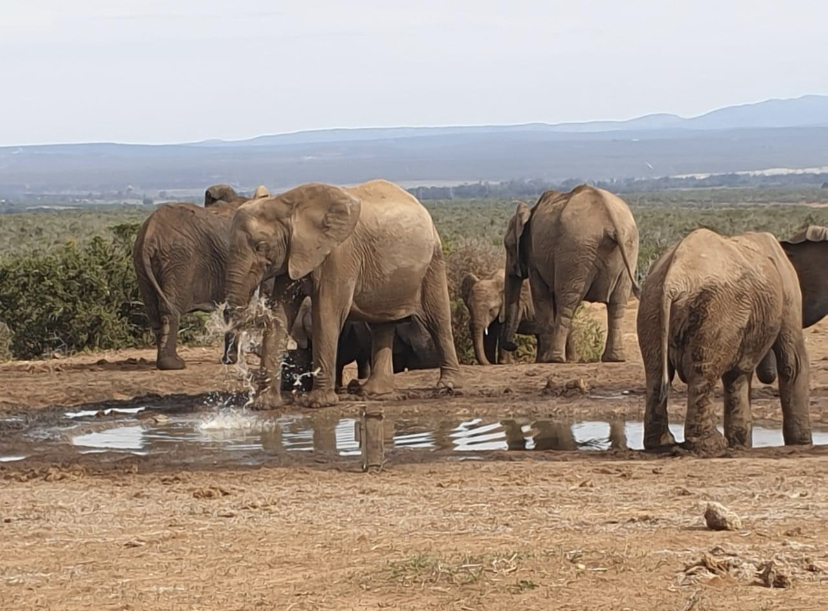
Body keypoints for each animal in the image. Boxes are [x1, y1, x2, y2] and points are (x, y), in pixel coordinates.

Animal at [133, 184, 269, 370]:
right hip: (179, 261)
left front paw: (230, 360)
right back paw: (173, 364)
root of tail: (149, 235)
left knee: (153, 312)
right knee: (170, 309)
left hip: (143, 266)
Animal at [224, 179, 462, 408]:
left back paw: (448, 387)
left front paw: (317, 403)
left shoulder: (339, 255)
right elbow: (280, 315)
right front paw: (264, 405)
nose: (231, 360)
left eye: (261, 247)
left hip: (433, 261)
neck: (287, 204)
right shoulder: (293, 256)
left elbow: (326, 313)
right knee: (381, 326)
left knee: (438, 319)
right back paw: (375, 392)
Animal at [500, 185, 640, 363]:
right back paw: (614, 358)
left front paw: (543, 359)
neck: (530, 211)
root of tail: (611, 221)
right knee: (617, 303)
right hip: (628, 248)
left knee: (567, 301)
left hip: (575, 248)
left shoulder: (535, 259)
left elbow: (542, 296)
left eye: (508, 246)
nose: (513, 345)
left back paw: (554, 359)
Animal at [637, 228, 812, 453]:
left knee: (656, 371)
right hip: (716, 309)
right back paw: (711, 445)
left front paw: (740, 445)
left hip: (651, 305)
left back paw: (661, 443)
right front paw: (802, 444)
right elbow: (793, 363)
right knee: (702, 373)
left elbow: (737, 374)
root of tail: (673, 280)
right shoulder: (788, 292)